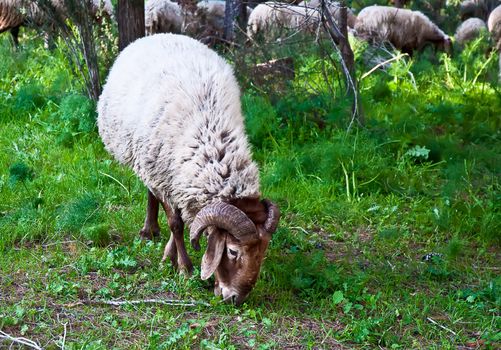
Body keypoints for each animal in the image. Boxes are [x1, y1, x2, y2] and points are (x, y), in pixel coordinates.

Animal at [95, 33, 280, 306]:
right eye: (232, 251)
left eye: (264, 251)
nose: (235, 299)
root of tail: (159, 34)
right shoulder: (164, 176)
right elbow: (176, 223)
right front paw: (184, 267)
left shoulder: (181, 182)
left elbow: (182, 219)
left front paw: (168, 256)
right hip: (145, 159)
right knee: (150, 192)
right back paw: (149, 230)